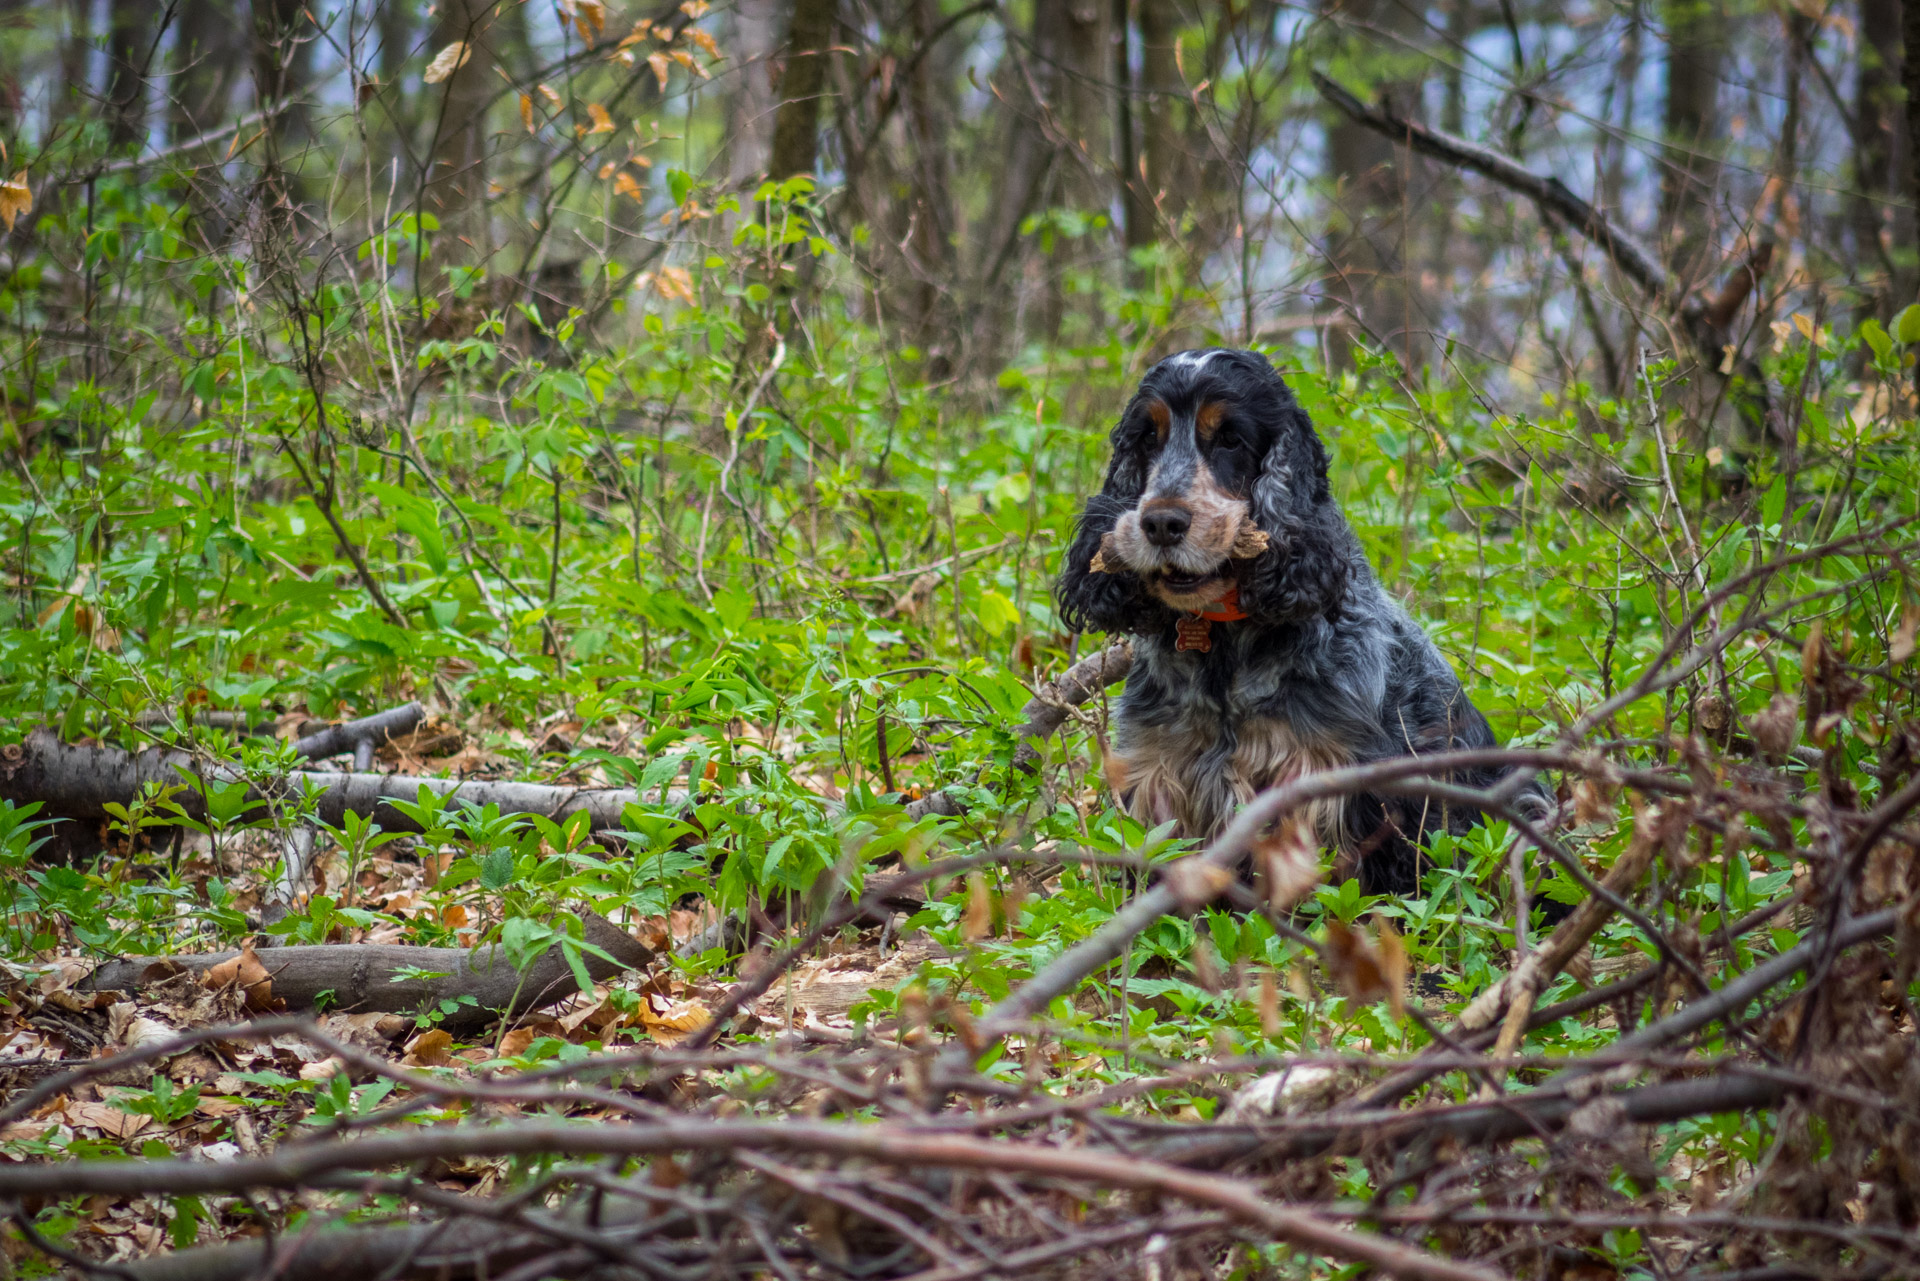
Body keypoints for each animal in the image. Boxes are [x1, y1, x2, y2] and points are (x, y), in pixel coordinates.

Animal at [1059, 345, 1551, 898]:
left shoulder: (1322, 781)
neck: (1225, 643)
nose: (1161, 523)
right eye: (1148, 437)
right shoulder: (1159, 776)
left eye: (1230, 438)